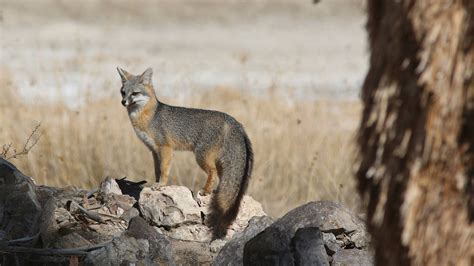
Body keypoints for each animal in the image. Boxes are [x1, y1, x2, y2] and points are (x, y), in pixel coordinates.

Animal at [117, 67, 254, 238]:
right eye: (123, 92)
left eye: (134, 93)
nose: (123, 102)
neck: (149, 116)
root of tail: (234, 121)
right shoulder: (154, 151)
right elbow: (157, 170)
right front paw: (156, 185)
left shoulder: (166, 148)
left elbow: (164, 169)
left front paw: (161, 185)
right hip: (219, 162)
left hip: (201, 156)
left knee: (213, 173)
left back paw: (206, 191)